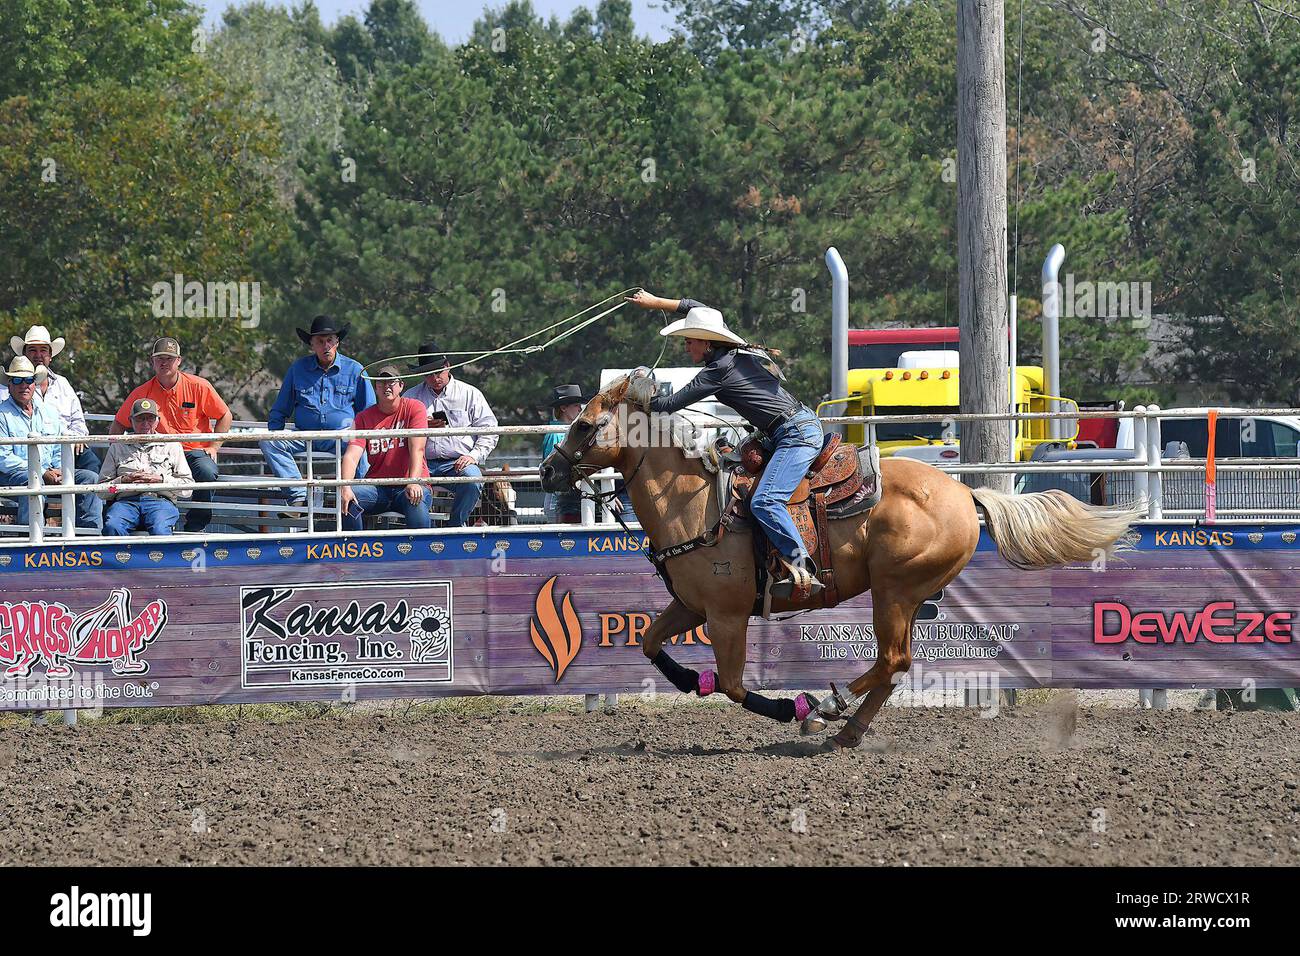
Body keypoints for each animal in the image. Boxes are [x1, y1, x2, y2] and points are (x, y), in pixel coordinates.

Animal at [538, 377, 1138, 749]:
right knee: (895, 667)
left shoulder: (727, 616)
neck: (696, 501)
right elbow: (648, 642)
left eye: (587, 425)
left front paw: (789, 710)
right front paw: (690, 680)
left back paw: (826, 705)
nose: (547, 472)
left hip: (893, 591)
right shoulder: (690, 606)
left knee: (891, 660)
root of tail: (967, 495)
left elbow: (733, 685)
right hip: (904, 596)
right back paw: (845, 731)